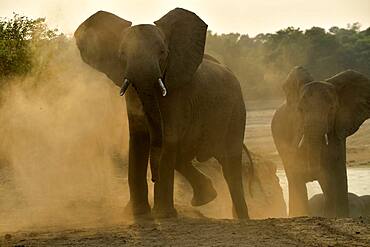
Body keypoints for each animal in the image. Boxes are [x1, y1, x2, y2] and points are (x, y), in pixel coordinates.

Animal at [74, 8, 250, 218]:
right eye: (122, 54)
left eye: (163, 53)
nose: (154, 178)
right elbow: (138, 140)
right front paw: (137, 214)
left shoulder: (177, 93)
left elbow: (168, 138)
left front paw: (163, 215)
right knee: (184, 157)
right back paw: (207, 198)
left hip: (236, 112)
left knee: (230, 167)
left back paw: (241, 217)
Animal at [272, 66, 370, 217]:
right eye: (300, 110)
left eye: (332, 110)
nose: (310, 174)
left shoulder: (338, 130)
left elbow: (336, 173)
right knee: (293, 178)